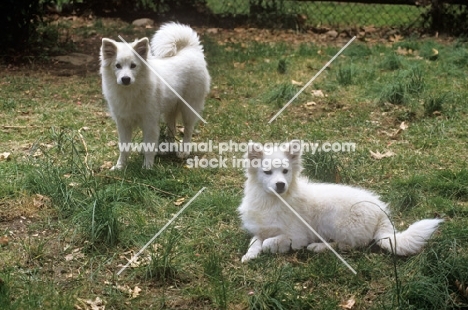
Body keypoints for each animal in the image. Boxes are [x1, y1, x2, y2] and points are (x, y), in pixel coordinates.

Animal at [100, 22, 210, 170]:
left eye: (133, 66)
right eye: (117, 66)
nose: (125, 79)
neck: (131, 91)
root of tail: (191, 49)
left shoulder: (150, 123)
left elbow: (148, 146)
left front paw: (147, 167)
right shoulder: (123, 123)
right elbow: (124, 148)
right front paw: (120, 166)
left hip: (188, 108)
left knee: (188, 129)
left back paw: (183, 152)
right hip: (169, 110)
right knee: (172, 129)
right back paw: (165, 149)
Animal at [239, 142, 444, 262]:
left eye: (285, 171)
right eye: (267, 172)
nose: (281, 185)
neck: (272, 201)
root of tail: (381, 213)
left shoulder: (297, 236)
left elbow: (269, 242)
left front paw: (271, 248)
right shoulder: (260, 229)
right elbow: (255, 240)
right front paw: (250, 254)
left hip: (333, 219)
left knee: (345, 245)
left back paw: (318, 247)